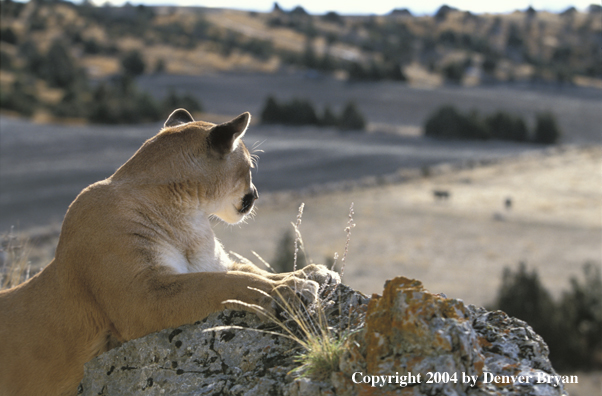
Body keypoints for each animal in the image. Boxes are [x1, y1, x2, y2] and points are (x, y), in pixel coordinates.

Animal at [0, 109, 338, 396]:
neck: (189, 215)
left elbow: (253, 272)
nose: (255, 195)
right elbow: (226, 284)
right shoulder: (144, 296)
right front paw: (290, 291)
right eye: (250, 167)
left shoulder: (211, 263)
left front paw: (310, 273)